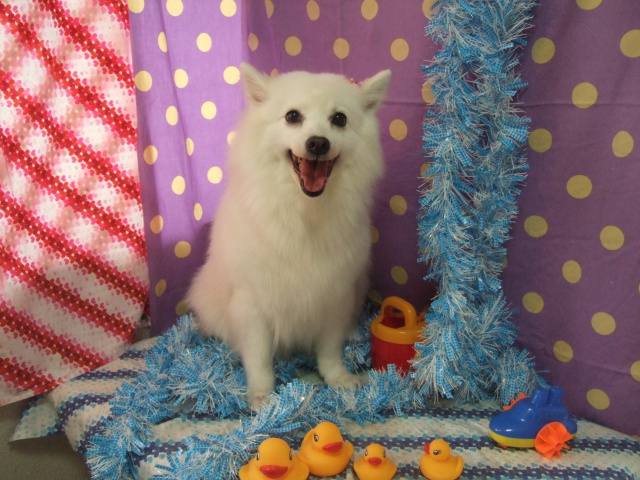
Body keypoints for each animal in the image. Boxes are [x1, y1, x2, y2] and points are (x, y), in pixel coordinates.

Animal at [187, 63, 391, 408]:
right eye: (292, 116)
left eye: (339, 119)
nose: (318, 143)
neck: (303, 213)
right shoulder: (251, 304)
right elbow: (258, 356)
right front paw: (261, 395)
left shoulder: (334, 296)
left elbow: (329, 349)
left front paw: (338, 378)